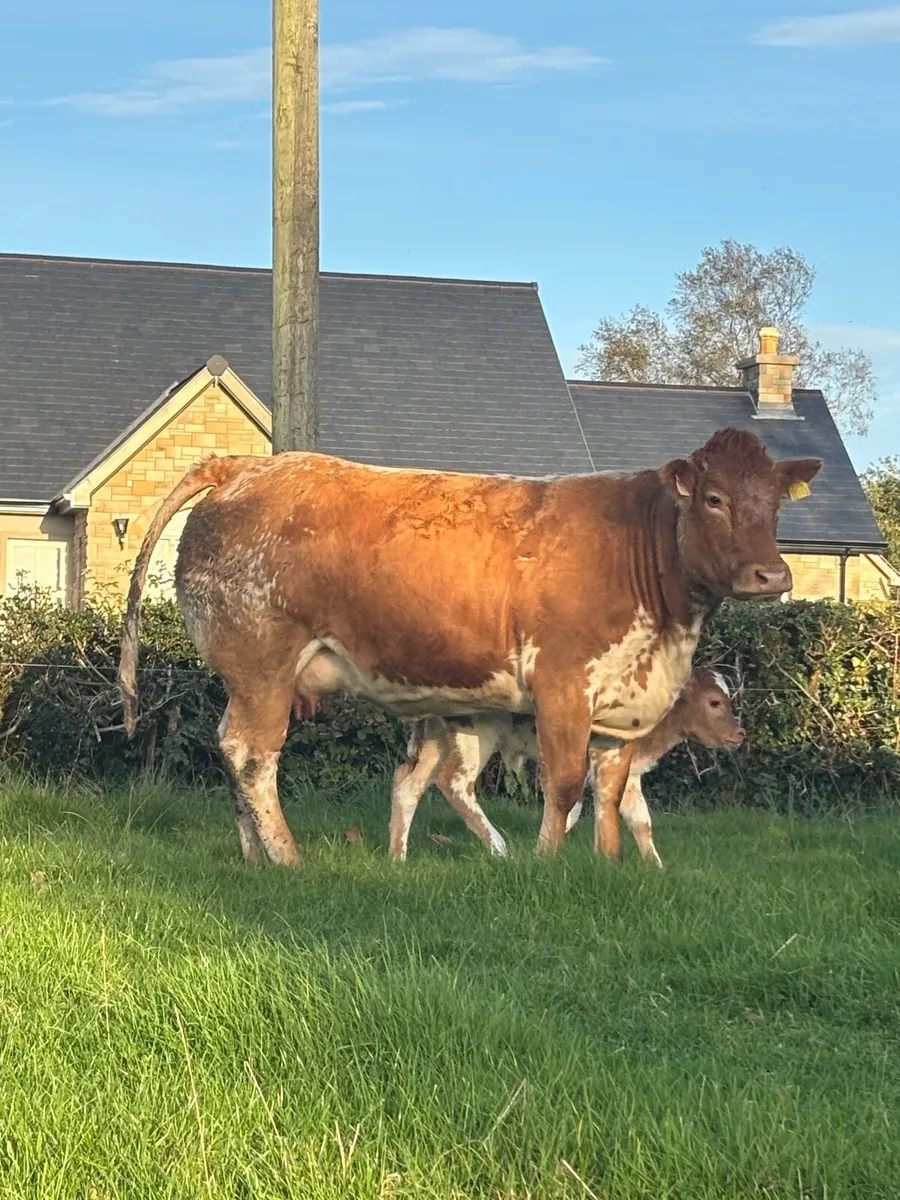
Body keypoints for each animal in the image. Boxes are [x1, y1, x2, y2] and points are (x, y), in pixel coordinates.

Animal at [388, 664, 744, 865]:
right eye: (714, 702)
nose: (739, 734)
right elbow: (572, 807)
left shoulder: (629, 772)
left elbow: (640, 820)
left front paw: (655, 867)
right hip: (475, 733)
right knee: (454, 783)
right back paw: (499, 849)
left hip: (437, 738)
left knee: (408, 784)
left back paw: (398, 857)